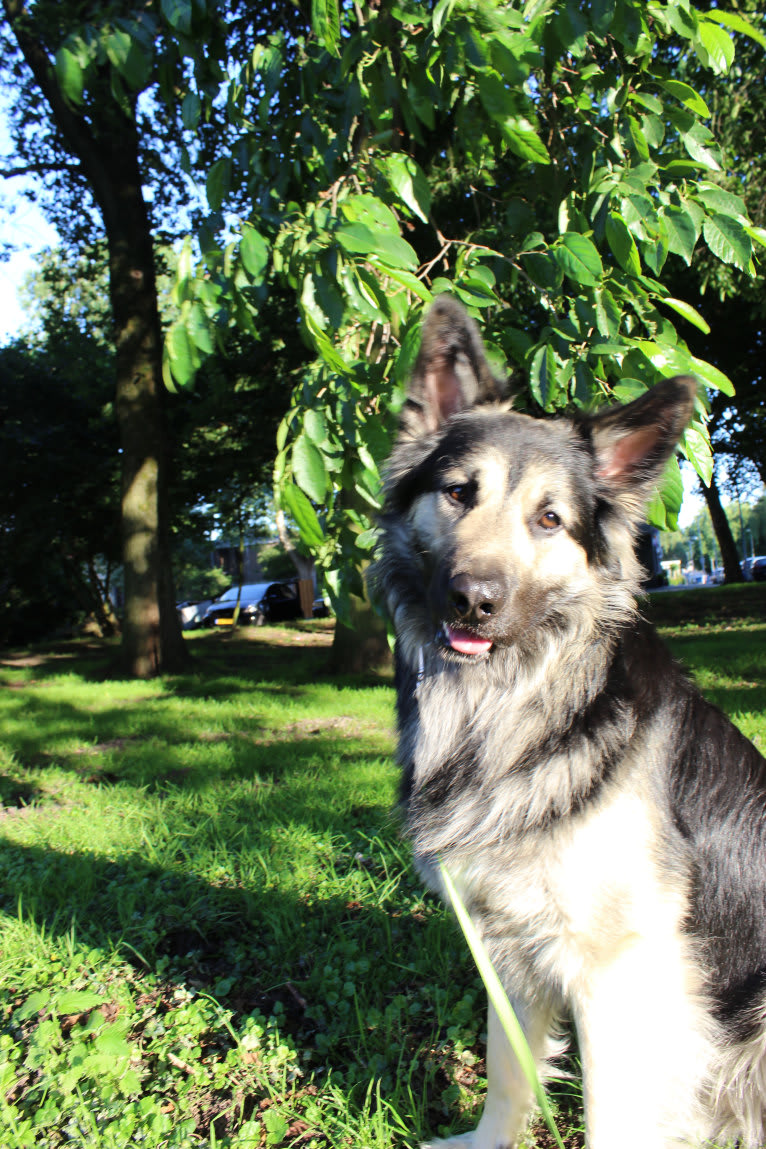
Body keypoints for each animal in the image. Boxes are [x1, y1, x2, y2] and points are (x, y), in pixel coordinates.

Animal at [374, 298, 766, 1149]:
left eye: (550, 519)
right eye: (458, 492)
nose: (473, 600)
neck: (506, 710)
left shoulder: (621, 972)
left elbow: (612, 1116)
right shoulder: (505, 940)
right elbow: (506, 1066)